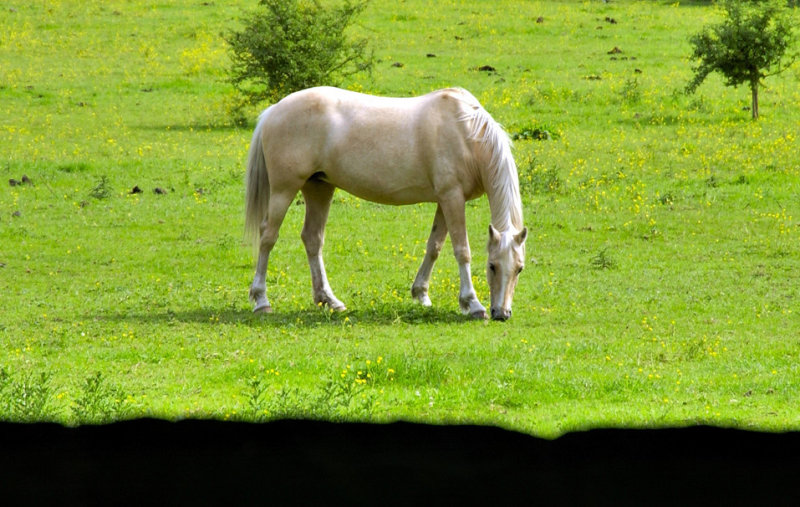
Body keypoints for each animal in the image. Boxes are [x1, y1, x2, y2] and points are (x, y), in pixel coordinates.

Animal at [247, 85, 528, 320]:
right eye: (492, 266)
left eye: (519, 269)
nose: (501, 313)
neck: (466, 133)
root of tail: (273, 110)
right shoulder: (452, 197)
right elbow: (462, 251)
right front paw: (473, 303)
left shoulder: (445, 200)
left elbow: (434, 246)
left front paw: (421, 293)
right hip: (284, 190)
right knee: (268, 237)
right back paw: (261, 300)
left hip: (319, 188)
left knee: (312, 239)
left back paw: (328, 300)